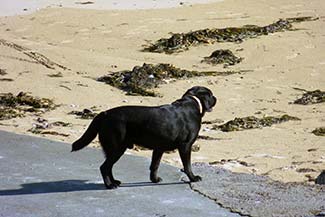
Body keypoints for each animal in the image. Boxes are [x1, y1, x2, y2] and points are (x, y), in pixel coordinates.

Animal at [72, 85, 216, 189]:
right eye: (210, 94)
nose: (216, 98)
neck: (193, 102)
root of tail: (104, 113)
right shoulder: (186, 146)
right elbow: (187, 166)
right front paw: (193, 178)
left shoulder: (159, 148)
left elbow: (154, 165)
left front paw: (154, 179)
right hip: (117, 147)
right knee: (104, 167)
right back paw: (110, 185)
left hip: (113, 149)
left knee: (109, 167)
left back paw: (115, 182)